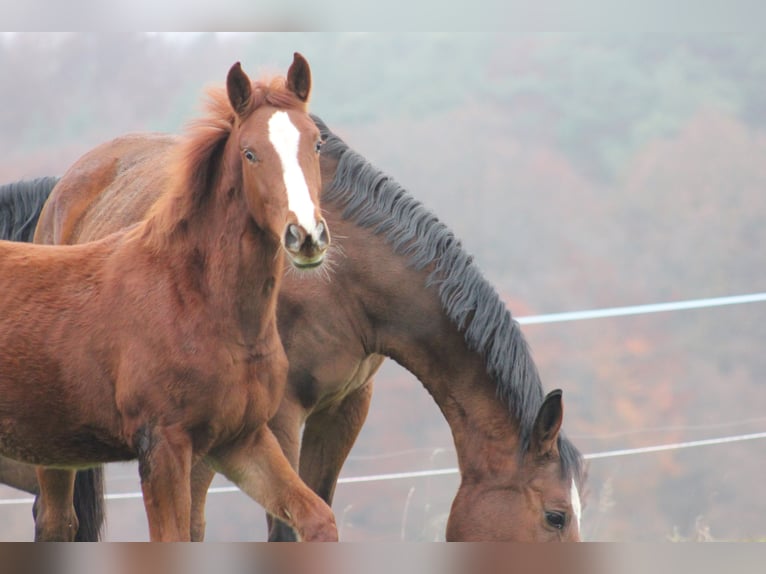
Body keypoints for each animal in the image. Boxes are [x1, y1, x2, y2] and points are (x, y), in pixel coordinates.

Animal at [0, 55, 340, 544]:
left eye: (315, 143)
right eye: (249, 153)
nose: (307, 236)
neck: (193, 299)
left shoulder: (243, 438)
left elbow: (316, 517)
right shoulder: (163, 445)